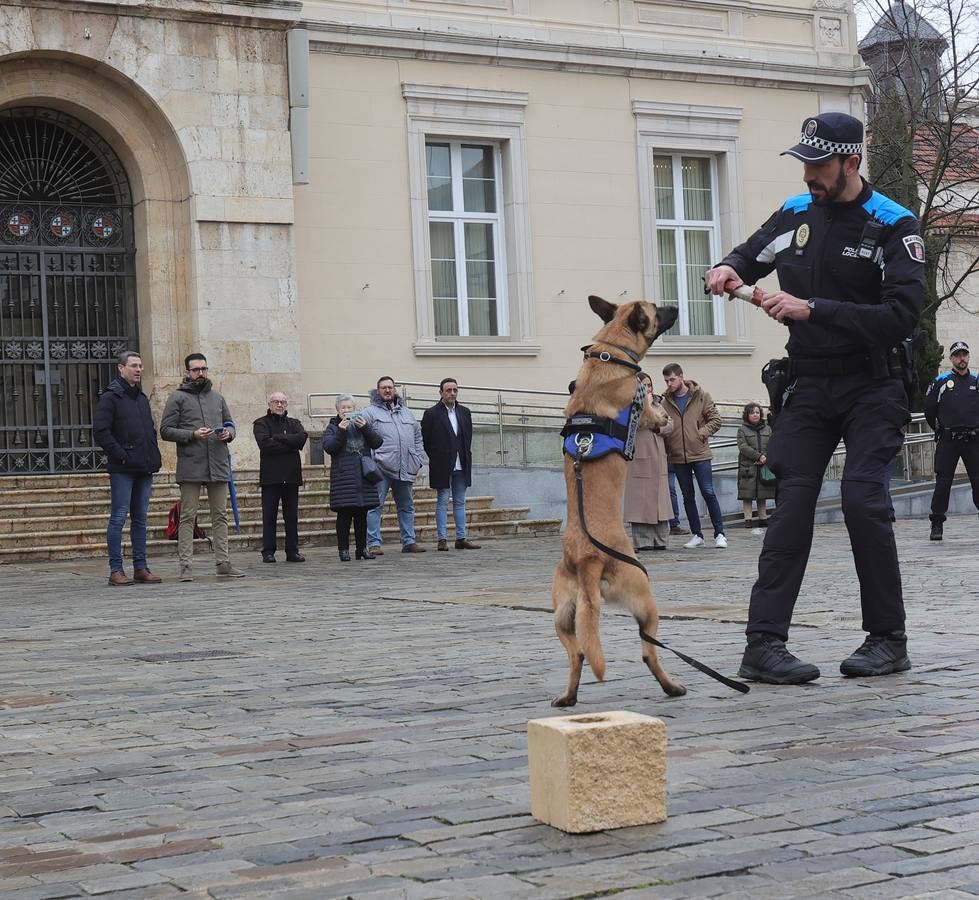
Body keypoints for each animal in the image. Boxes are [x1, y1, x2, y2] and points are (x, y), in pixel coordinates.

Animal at [556, 298, 684, 708]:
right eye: (658, 310)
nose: (675, 304)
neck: (609, 352)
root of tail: (586, 560)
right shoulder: (645, 411)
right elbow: (655, 411)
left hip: (563, 615)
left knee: (578, 652)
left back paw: (568, 696)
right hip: (646, 599)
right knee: (648, 650)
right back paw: (672, 686)